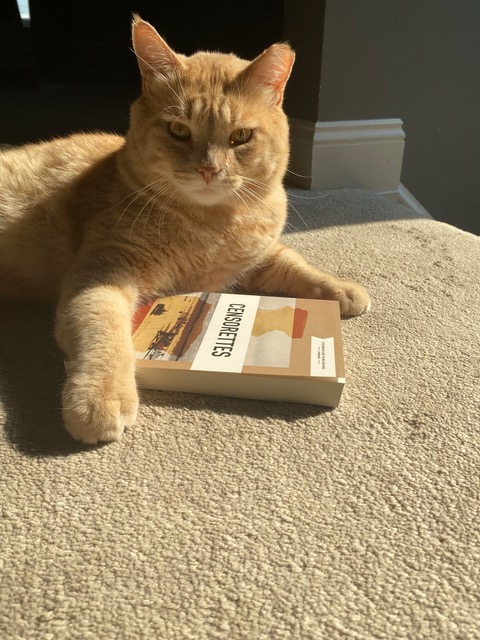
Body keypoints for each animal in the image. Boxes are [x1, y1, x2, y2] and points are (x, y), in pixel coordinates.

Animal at [0, 16, 370, 444]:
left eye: (240, 136)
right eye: (178, 130)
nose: (208, 169)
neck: (211, 226)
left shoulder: (256, 259)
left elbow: (294, 263)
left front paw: (341, 290)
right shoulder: (100, 276)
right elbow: (103, 330)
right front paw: (100, 398)